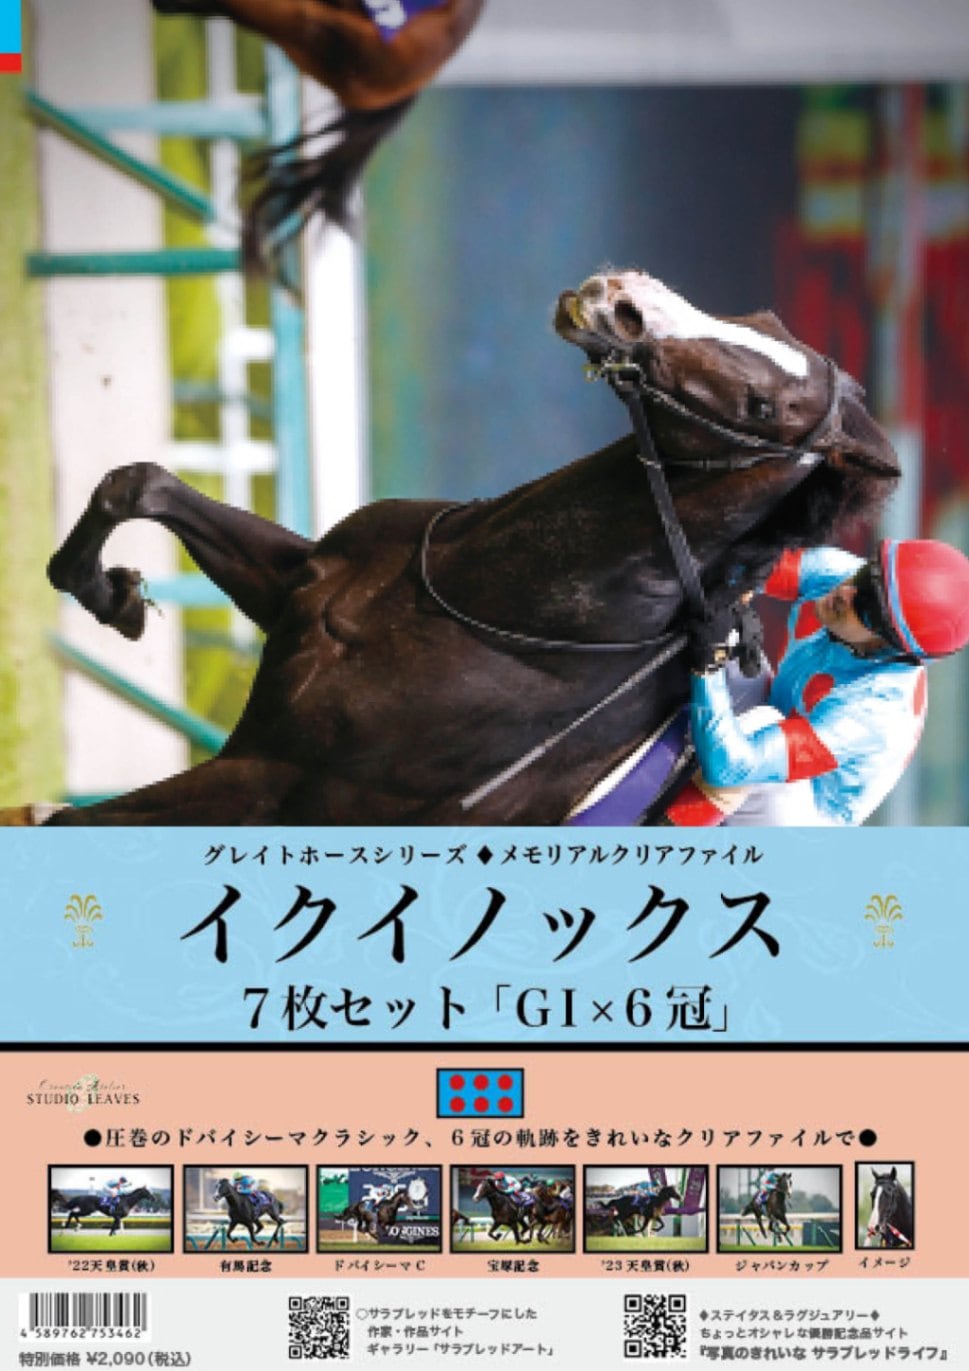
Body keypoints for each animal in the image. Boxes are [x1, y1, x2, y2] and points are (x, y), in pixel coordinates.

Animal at [43, 269, 900, 828]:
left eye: (763, 406)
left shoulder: (280, 782)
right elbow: (137, 484)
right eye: (755, 320)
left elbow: (65, 821)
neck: (491, 600)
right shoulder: (298, 586)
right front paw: (108, 591)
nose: (618, 295)